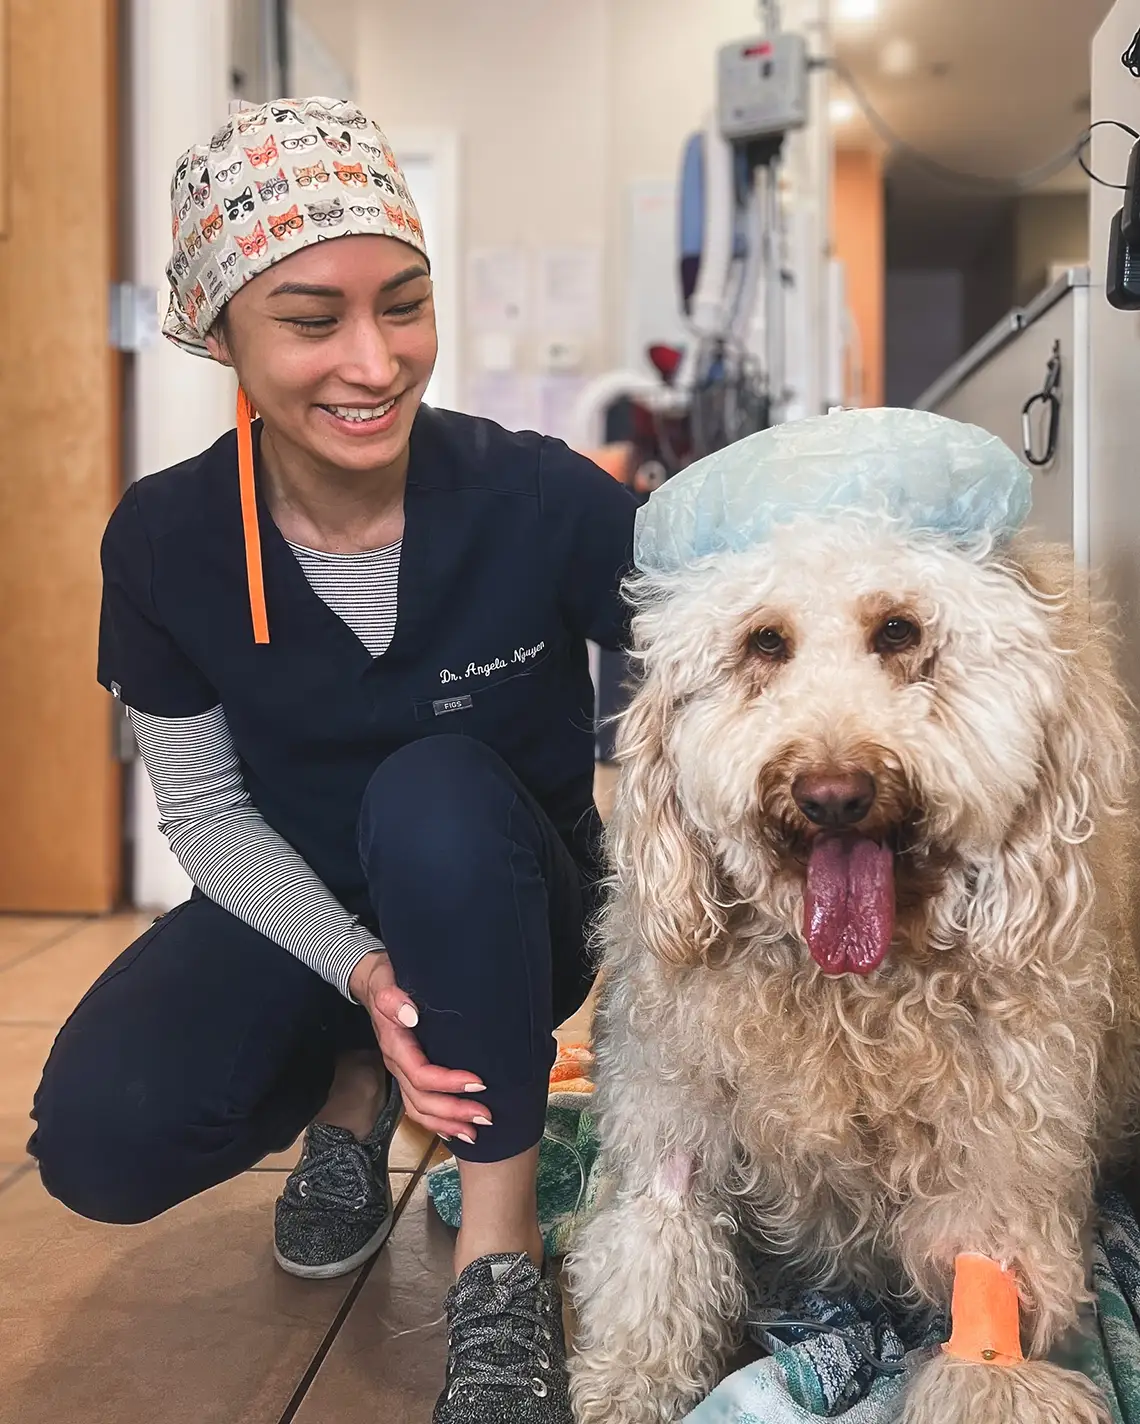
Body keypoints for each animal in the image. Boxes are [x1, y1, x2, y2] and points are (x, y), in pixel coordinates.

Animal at [569, 512, 1138, 1424]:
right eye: (765, 641)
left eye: (899, 630)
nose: (832, 793)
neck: (846, 998)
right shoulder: (674, 1101)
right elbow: (662, 1237)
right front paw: (633, 1377)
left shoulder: (1007, 1139)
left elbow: (990, 1271)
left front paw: (992, 1382)